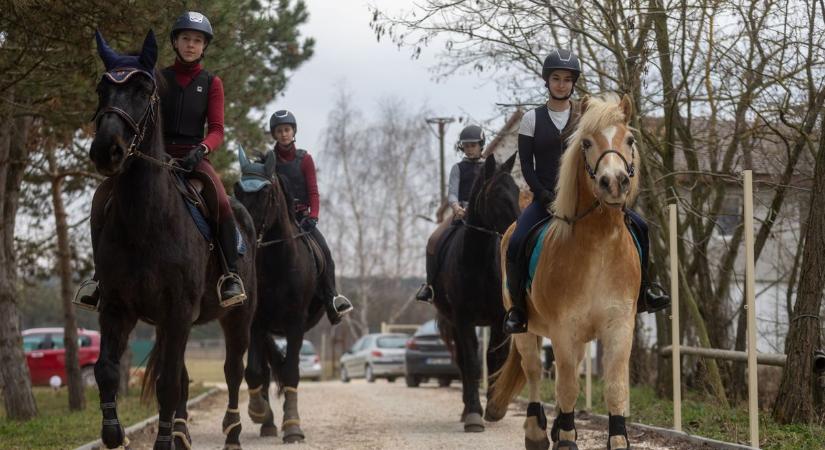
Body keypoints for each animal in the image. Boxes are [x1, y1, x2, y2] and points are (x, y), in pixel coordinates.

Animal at [86, 31, 254, 450]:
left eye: (144, 89)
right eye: (101, 89)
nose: (107, 150)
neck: (147, 222)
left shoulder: (178, 312)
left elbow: (167, 385)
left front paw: (162, 441)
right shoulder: (117, 309)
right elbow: (108, 371)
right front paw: (114, 435)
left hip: (237, 317)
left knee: (232, 370)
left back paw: (231, 433)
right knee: (181, 375)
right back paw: (180, 431)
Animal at [233, 148, 326, 442]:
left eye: (265, 192)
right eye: (237, 190)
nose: (244, 232)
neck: (277, 262)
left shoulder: (296, 324)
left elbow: (291, 371)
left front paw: (293, 426)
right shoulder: (256, 324)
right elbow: (254, 372)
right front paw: (259, 412)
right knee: (262, 371)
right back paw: (267, 421)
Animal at [428, 155, 520, 432]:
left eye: (517, 190)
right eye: (497, 194)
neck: (477, 260)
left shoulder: (499, 319)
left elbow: (494, 357)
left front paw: (494, 408)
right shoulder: (463, 319)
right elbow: (471, 361)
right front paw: (473, 415)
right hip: (452, 322)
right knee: (460, 359)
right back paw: (465, 408)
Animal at [490, 92, 644, 450]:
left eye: (629, 140)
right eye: (586, 142)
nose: (614, 183)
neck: (599, 245)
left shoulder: (619, 327)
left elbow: (614, 388)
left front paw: (616, 439)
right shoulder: (563, 329)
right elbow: (568, 386)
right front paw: (567, 439)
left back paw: (559, 426)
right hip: (527, 330)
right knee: (535, 371)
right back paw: (537, 432)